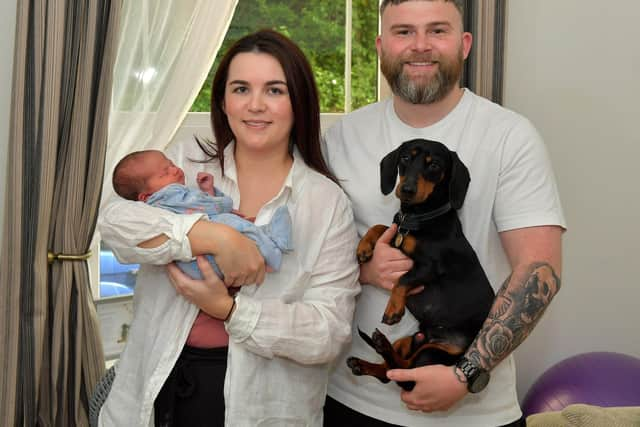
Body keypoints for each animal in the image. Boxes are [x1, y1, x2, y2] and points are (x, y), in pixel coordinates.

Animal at [350, 140, 496, 392]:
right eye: (405, 158)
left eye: (434, 165)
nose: (407, 189)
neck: (417, 218)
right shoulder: (396, 236)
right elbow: (379, 227)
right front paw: (364, 247)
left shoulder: (430, 267)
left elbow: (402, 279)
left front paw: (393, 309)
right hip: (409, 341)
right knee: (389, 373)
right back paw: (364, 362)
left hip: (432, 355)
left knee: (406, 372)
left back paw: (382, 344)